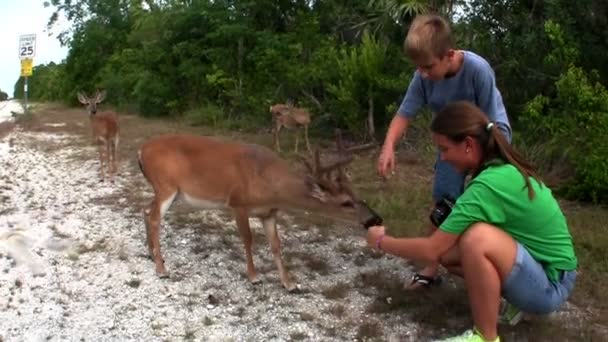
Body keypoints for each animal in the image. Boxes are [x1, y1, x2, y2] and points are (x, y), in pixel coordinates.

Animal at [140, 132, 382, 292]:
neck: (270, 185)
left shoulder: (269, 213)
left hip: (166, 190)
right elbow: (248, 240)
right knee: (154, 218)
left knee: (145, 211)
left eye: (358, 195)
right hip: (166, 185)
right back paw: (162, 269)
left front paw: (289, 283)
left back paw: (152, 255)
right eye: (346, 203)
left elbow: (276, 245)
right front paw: (254, 277)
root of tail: (141, 151)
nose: (375, 218)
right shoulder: (237, 203)